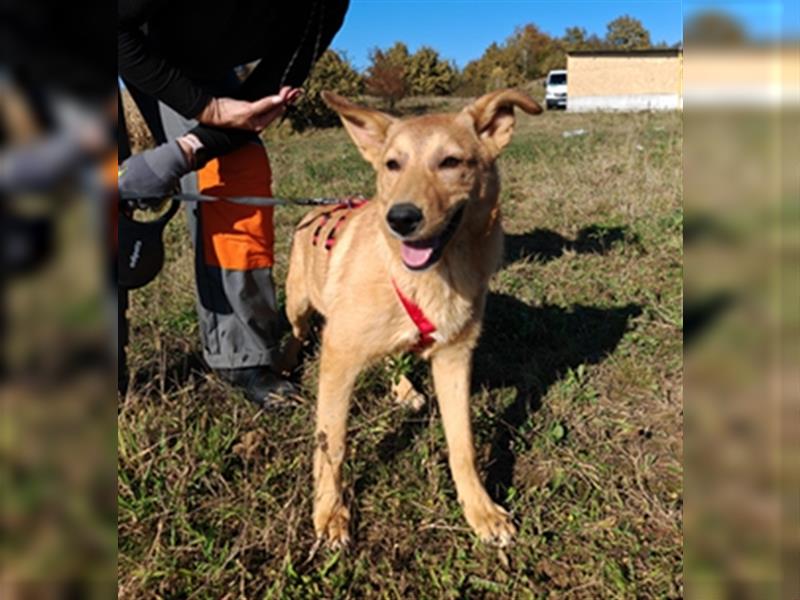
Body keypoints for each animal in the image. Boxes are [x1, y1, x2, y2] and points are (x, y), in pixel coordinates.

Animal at [282, 89, 544, 548]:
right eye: (392, 164)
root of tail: (317, 209)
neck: (434, 275)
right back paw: (284, 367)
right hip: (297, 304)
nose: (401, 219)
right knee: (296, 333)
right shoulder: (338, 358)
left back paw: (404, 389)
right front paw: (330, 513)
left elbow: (463, 444)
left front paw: (480, 510)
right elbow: (332, 444)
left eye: (451, 162)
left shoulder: (454, 358)